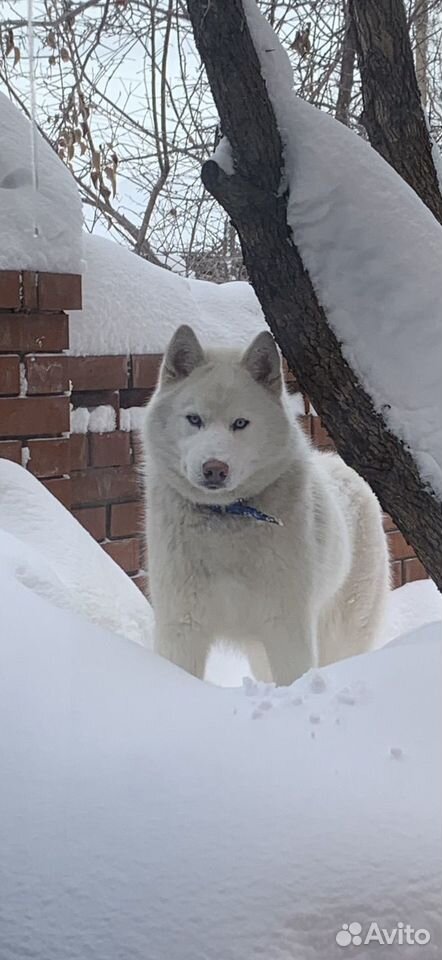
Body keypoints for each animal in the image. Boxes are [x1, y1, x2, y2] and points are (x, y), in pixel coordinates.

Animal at [143, 326, 388, 688]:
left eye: (240, 423)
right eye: (194, 419)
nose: (214, 469)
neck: (225, 518)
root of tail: (342, 466)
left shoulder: (286, 627)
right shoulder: (181, 627)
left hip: (340, 633)